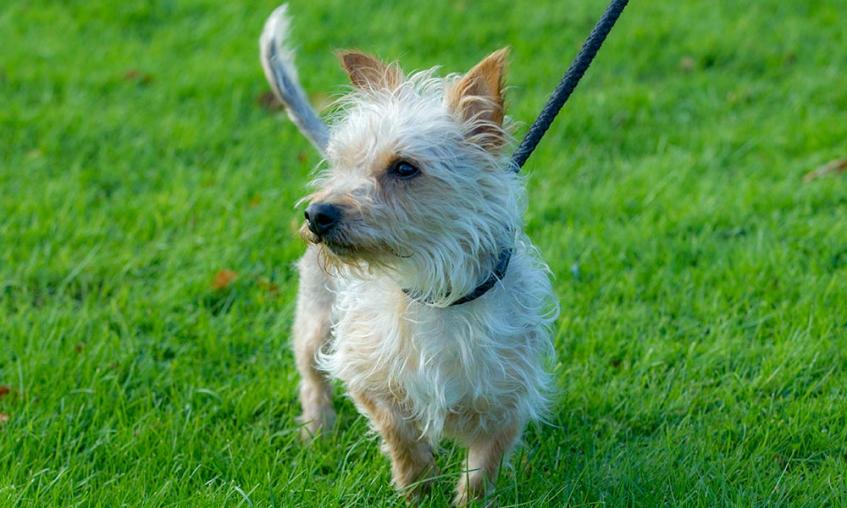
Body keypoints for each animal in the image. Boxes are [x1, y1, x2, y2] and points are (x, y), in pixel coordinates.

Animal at [262, 4, 560, 504]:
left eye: (405, 168)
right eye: (343, 164)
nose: (317, 214)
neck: (434, 292)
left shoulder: (506, 403)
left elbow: (481, 472)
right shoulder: (365, 372)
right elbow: (399, 433)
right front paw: (418, 485)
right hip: (315, 322)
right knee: (311, 377)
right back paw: (316, 430)